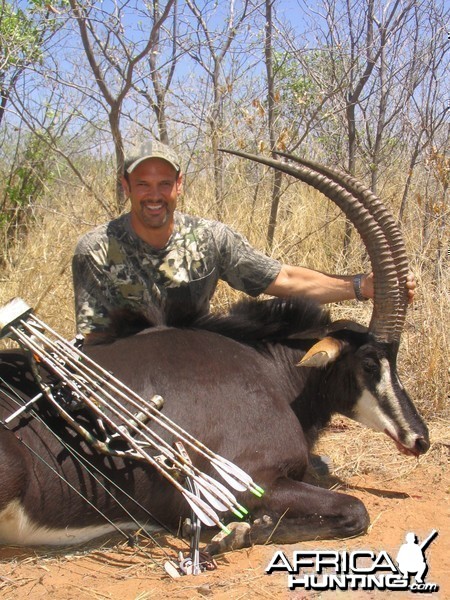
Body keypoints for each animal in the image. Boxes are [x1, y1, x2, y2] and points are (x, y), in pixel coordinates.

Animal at [0, 154, 428, 552]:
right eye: (369, 362)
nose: (420, 438)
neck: (269, 372)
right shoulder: (246, 481)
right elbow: (355, 510)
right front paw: (234, 532)